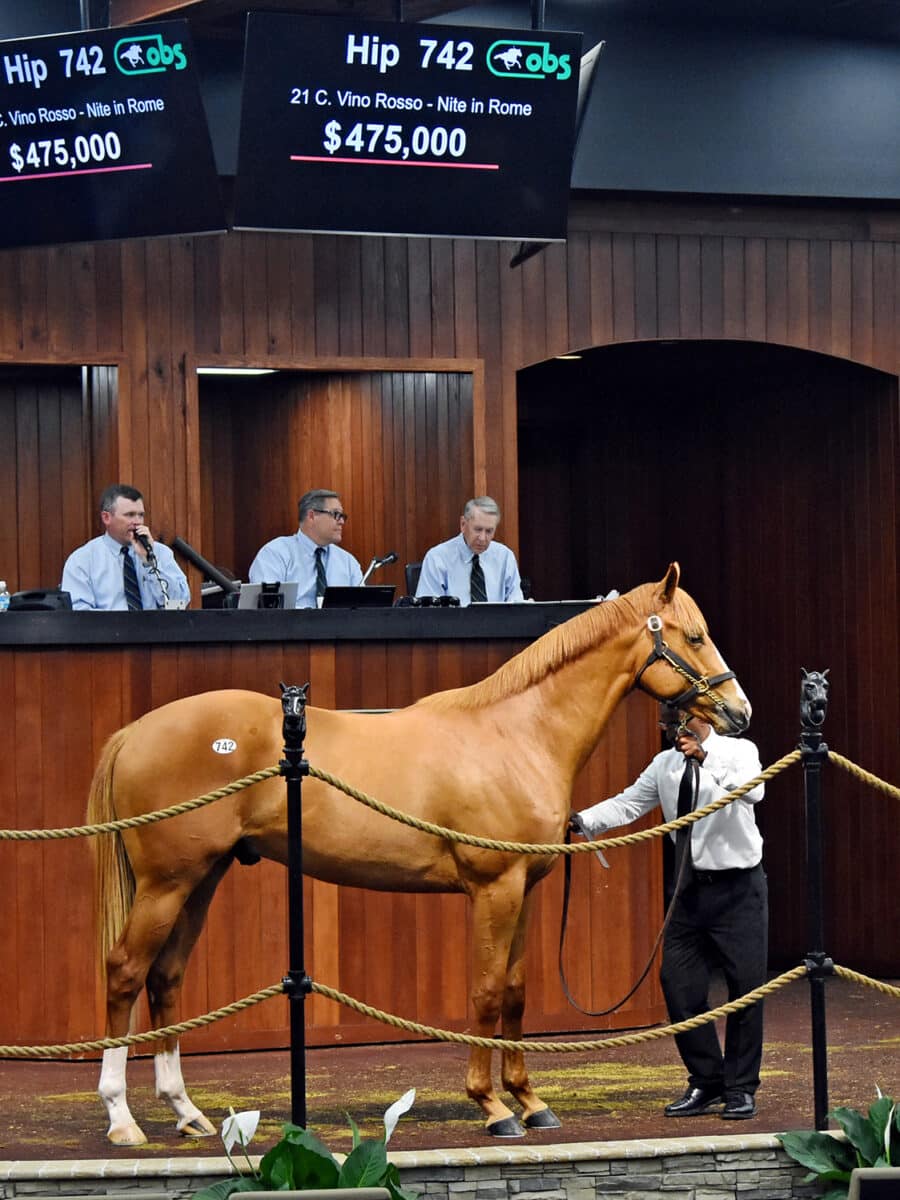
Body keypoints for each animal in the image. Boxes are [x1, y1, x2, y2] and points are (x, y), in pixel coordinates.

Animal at [88, 561, 748, 1142]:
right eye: (694, 636)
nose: (738, 712)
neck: (516, 734)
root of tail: (135, 731)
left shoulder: (525, 889)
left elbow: (515, 992)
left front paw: (530, 1101)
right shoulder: (494, 889)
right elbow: (485, 992)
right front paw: (492, 1107)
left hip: (201, 878)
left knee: (165, 978)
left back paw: (186, 1112)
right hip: (167, 884)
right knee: (125, 972)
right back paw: (121, 1118)